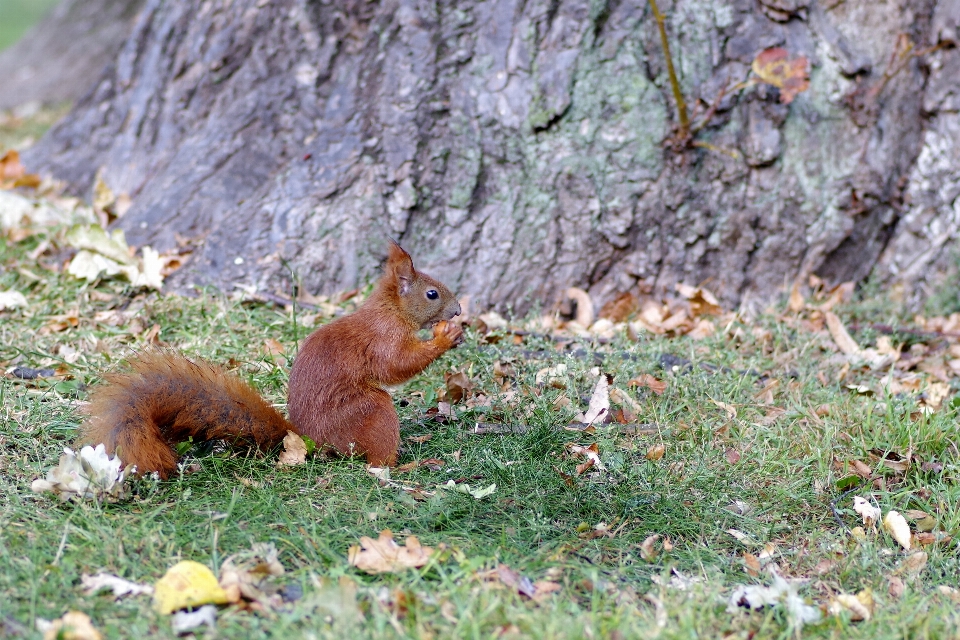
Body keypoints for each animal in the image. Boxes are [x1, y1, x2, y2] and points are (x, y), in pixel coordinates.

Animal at [80, 242, 464, 478]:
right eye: (432, 294)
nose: (459, 310)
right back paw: (405, 467)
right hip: (369, 412)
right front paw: (445, 337)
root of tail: (310, 440)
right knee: (375, 461)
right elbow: (396, 366)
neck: (391, 310)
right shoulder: (384, 339)